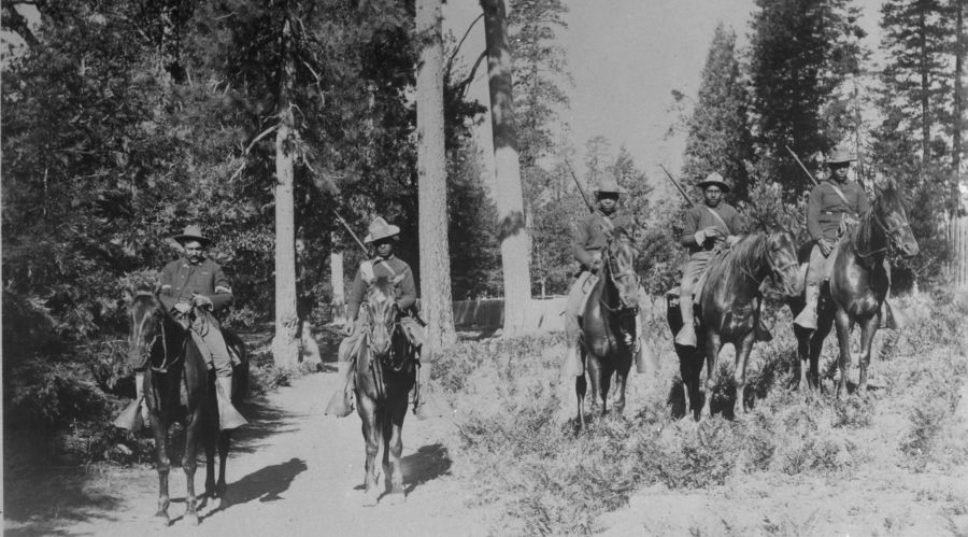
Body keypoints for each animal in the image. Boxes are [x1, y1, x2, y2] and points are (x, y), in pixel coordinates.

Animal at [126, 292, 248, 524]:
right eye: (129, 314)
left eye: (157, 313)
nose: (137, 358)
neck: (171, 372)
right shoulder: (158, 419)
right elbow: (163, 463)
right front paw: (162, 511)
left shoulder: (194, 416)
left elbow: (189, 463)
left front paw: (191, 511)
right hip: (208, 415)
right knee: (209, 448)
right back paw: (209, 490)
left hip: (224, 410)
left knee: (222, 446)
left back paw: (221, 491)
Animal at [354, 278, 418, 504]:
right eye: (368, 306)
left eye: (393, 306)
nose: (380, 345)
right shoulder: (366, 402)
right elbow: (371, 445)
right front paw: (370, 490)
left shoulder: (399, 402)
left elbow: (395, 444)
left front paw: (398, 489)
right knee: (368, 437)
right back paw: (369, 476)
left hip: (386, 409)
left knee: (387, 436)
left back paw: (386, 473)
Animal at [576, 232, 644, 430]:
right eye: (612, 257)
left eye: (638, 256)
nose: (631, 301)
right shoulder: (594, 359)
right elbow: (596, 400)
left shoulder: (624, 358)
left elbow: (618, 399)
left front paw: (617, 427)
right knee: (580, 387)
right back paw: (582, 426)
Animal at [664, 228, 800, 420]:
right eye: (774, 248)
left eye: (794, 247)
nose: (796, 284)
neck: (735, 292)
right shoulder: (714, 338)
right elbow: (712, 380)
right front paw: (705, 416)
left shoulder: (746, 339)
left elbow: (739, 377)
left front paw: (740, 413)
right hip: (683, 348)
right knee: (686, 374)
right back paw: (689, 413)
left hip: (699, 349)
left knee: (694, 375)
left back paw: (695, 407)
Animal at [788, 180, 916, 394]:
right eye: (886, 211)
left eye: (906, 209)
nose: (911, 248)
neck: (863, 268)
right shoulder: (843, 315)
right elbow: (846, 357)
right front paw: (842, 394)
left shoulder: (871, 317)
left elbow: (864, 356)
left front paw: (861, 392)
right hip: (802, 315)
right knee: (803, 346)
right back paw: (804, 386)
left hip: (824, 320)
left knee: (815, 346)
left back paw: (816, 385)